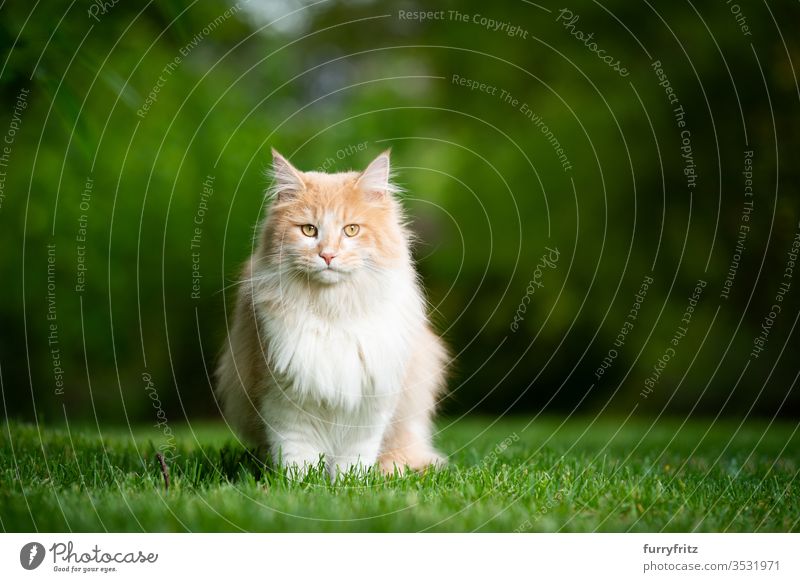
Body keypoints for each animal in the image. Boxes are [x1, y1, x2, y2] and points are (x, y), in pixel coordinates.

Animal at [214, 149, 450, 480]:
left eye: (351, 230)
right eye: (308, 230)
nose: (327, 255)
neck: (333, 310)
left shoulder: (369, 401)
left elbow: (353, 459)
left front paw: (348, 483)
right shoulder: (283, 397)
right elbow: (297, 454)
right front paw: (299, 484)